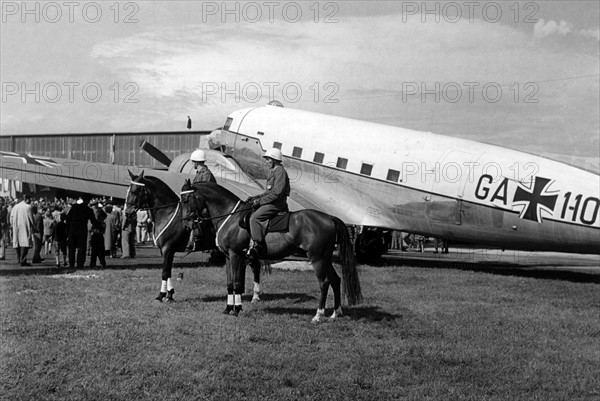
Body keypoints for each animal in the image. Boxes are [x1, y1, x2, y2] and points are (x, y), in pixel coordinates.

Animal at [124, 170, 262, 304]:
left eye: (134, 191)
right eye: (128, 190)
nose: (127, 212)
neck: (167, 213)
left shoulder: (168, 249)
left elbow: (165, 272)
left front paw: (162, 295)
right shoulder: (166, 251)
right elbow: (168, 272)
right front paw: (170, 294)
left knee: (255, 267)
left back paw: (255, 296)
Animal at [180, 180, 364, 320]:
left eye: (186, 199)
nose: (186, 223)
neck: (230, 217)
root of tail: (329, 217)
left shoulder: (235, 255)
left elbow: (237, 283)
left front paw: (237, 309)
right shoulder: (228, 257)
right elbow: (230, 283)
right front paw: (228, 308)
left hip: (317, 259)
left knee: (324, 283)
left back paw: (318, 316)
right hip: (325, 258)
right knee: (335, 280)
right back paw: (336, 313)